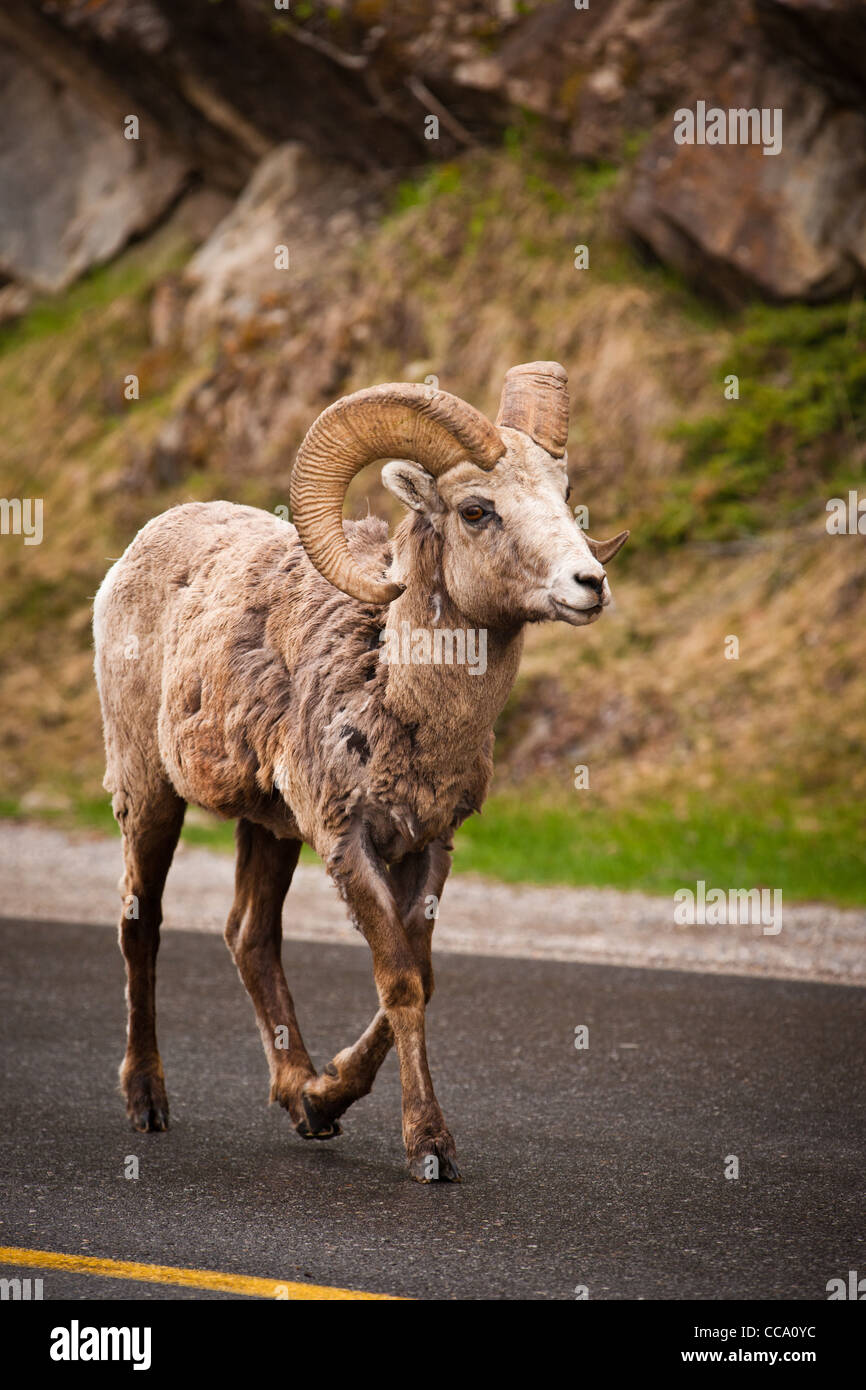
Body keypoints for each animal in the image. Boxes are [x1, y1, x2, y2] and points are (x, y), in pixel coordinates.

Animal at [94, 361, 625, 1184]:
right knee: (140, 924)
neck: (394, 687)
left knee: (249, 935)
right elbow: (400, 980)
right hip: (150, 794)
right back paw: (148, 1102)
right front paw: (430, 1148)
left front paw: (326, 1098)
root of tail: (136, 553)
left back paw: (298, 1096)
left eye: (563, 493)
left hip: (270, 827)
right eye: (477, 510)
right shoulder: (349, 846)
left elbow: (422, 977)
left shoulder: (428, 847)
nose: (588, 583)